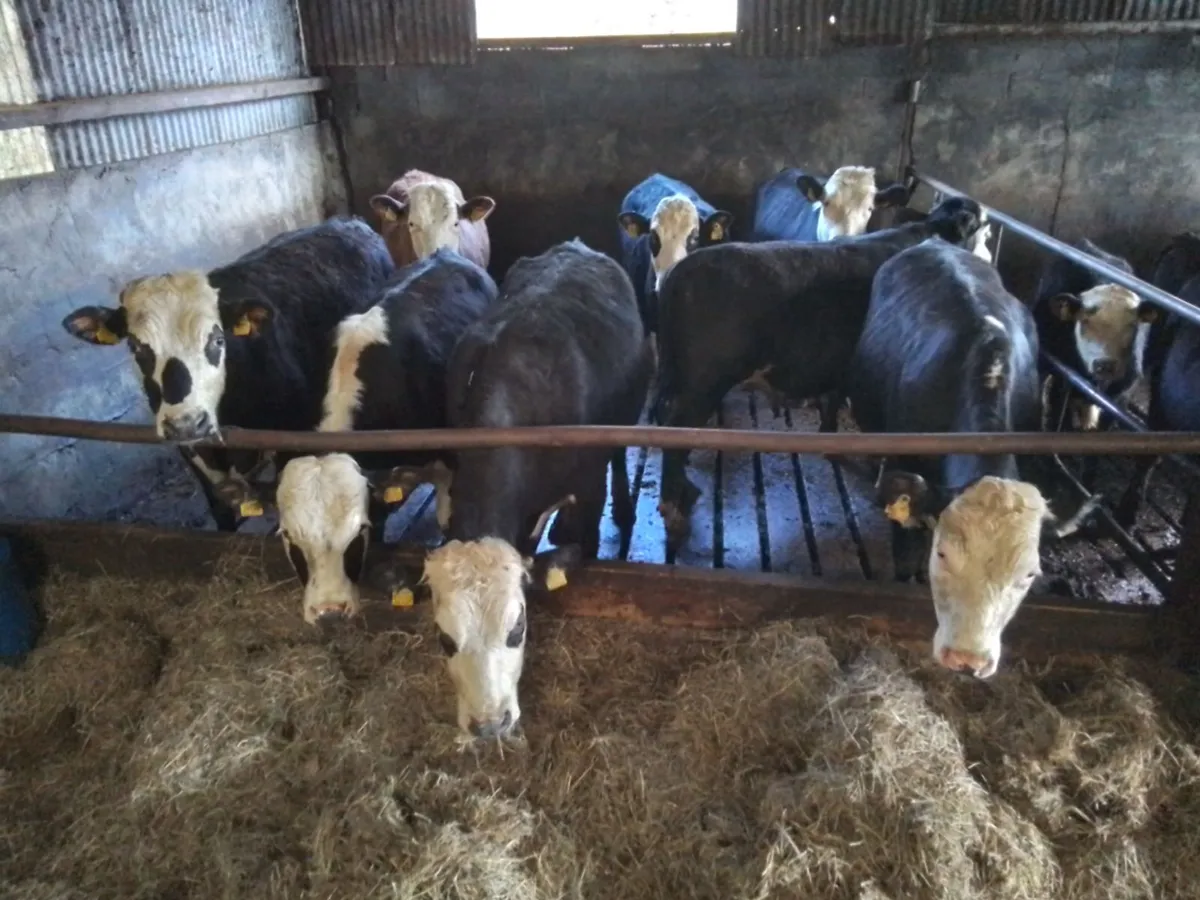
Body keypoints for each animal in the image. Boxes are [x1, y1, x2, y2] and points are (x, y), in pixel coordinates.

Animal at [653, 196, 989, 549]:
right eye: (983, 229)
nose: (987, 258)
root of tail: (678, 273)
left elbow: (834, 398)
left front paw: (830, 439)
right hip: (701, 384)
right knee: (677, 429)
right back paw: (674, 511)